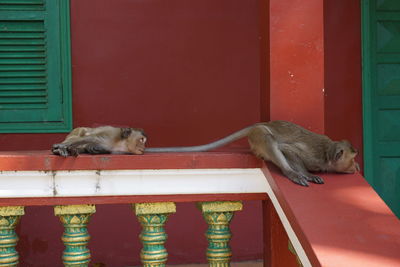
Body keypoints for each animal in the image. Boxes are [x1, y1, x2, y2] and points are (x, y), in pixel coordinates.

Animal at [146, 121, 360, 186]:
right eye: (351, 160)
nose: (355, 167)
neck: (327, 153)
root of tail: (259, 124)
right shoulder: (313, 156)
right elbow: (287, 150)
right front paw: (305, 174)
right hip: (259, 136)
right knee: (270, 139)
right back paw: (290, 172)